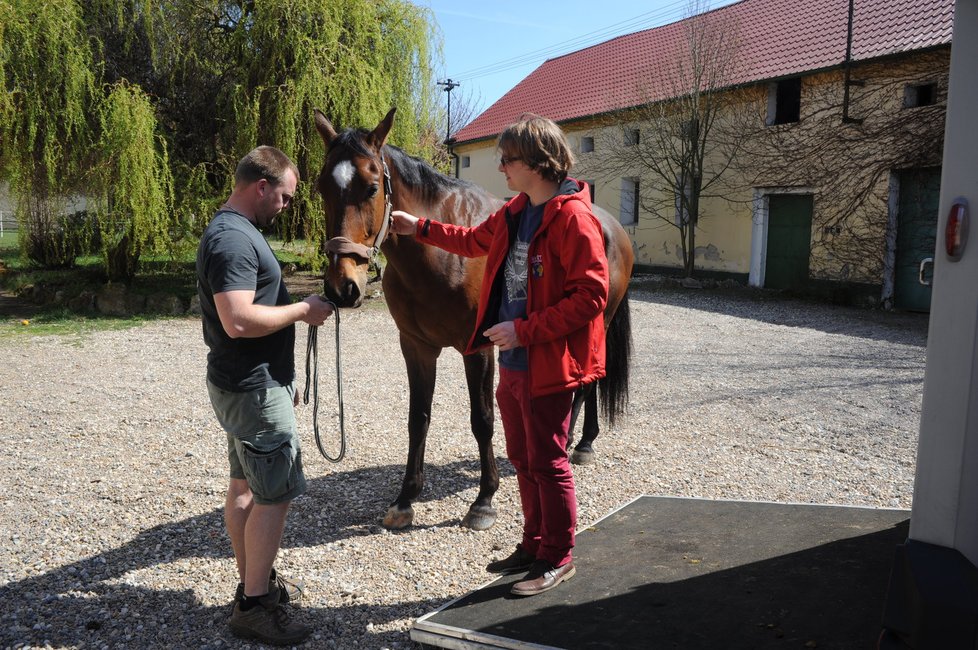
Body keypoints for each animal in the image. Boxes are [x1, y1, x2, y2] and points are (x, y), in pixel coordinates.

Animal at [312, 107, 632, 532]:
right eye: (321, 187)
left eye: (371, 187)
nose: (341, 287)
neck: (440, 257)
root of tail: (612, 226)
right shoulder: (416, 347)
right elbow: (418, 418)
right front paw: (405, 498)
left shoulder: (477, 349)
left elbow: (482, 419)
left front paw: (484, 500)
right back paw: (575, 441)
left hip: (596, 320)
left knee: (585, 384)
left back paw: (577, 444)